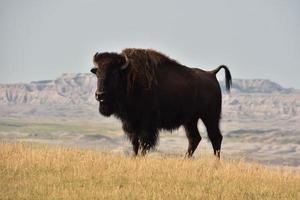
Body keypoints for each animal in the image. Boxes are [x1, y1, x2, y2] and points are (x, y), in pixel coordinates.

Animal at [91, 48, 232, 158]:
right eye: (97, 73)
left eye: (114, 73)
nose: (100, 95)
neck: (129, 77)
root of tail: (211, 73)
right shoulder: (131, 123)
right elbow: (135, 143)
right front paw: (134, 157)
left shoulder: (147, 123)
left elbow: (144, 143)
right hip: (190, 120)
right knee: (194, 138)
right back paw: (184, 159)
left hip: (210, 116)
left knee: (215, 137)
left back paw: (215, 163)